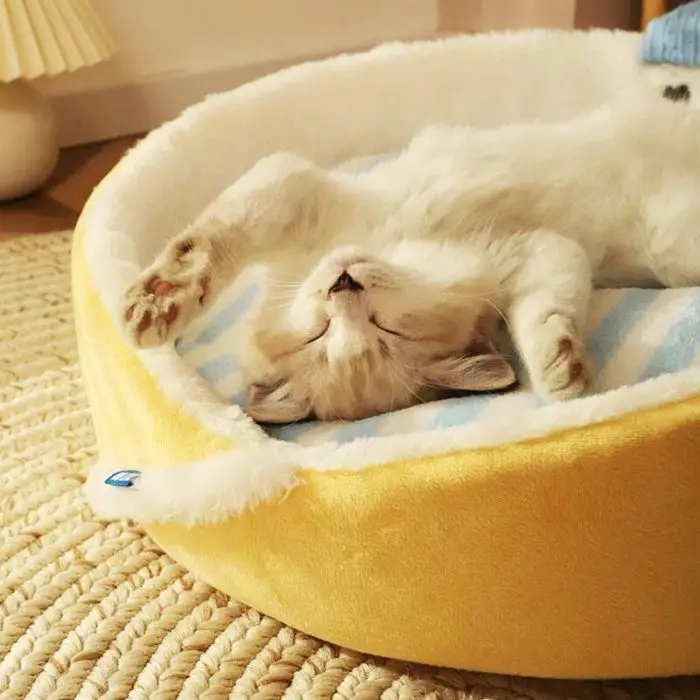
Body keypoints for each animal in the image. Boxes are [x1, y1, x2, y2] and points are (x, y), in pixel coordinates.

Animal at [123, 90, 700, 424]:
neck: (405, 249)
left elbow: (205, 241)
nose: (343, 283)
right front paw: (562, 368)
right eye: (321, 335)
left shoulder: (291, 184)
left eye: (387, 327)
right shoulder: (539, 249)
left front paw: (154, 302)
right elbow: (547, 308)